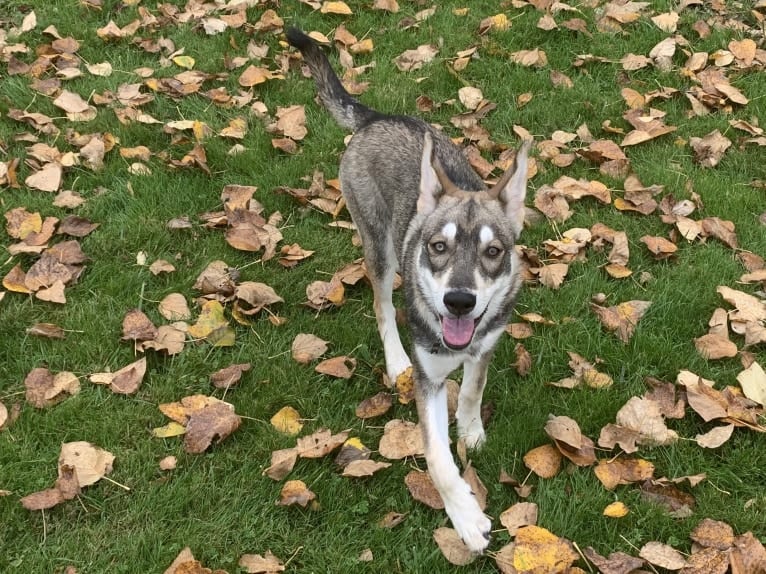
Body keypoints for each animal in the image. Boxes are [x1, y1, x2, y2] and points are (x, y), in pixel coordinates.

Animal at [284, 29, 532, 556]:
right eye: (438, 246)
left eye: (494, 251)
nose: (459, 301)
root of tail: (376, 117)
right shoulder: (428, 380)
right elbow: (436, 459)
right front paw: (466, 518)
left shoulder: (485, 344)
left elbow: (473, 390)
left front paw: (471, 431)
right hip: (380, 250)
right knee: (381, 306)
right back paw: (393, 357)